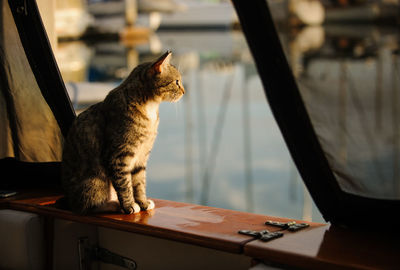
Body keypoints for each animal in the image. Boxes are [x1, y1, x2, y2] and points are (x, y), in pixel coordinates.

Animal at [60, 51, 184, 214]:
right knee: (86, 206)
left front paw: (143, 202)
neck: (149, 107)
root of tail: (68, 200)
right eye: (176, 81)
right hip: (95, 182)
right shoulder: (118, 156)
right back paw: (110, 205)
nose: (184, 91)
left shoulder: (141, 157)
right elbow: (124, 184)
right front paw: (129, 205)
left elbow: (139, 183)